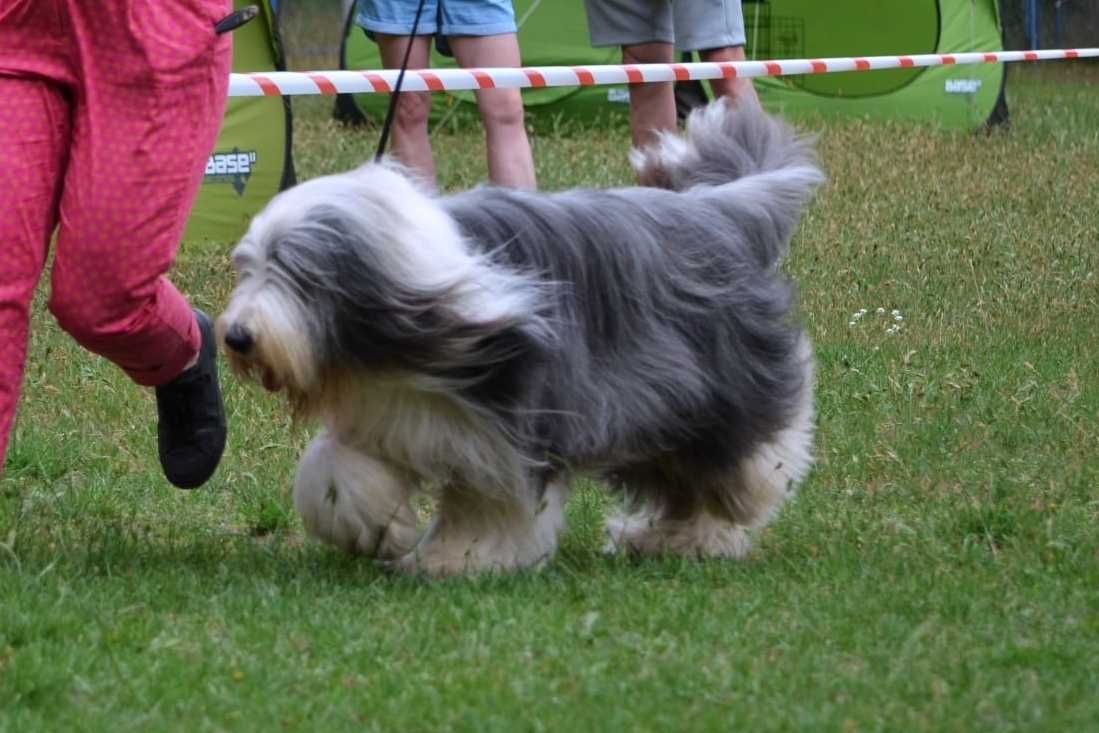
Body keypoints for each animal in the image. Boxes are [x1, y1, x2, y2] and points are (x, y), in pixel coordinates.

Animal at [218, 100, 826, 575]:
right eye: (250, 267)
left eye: (299, 274)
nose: (238, 337)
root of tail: (717, 210)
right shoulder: (391, 406)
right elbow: (333, 470)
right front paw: (373, 530)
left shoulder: (507, 426)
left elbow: (490, 504)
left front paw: (456, 560)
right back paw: (666, 539)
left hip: (702, 385)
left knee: (734, 466)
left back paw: (714, 521)